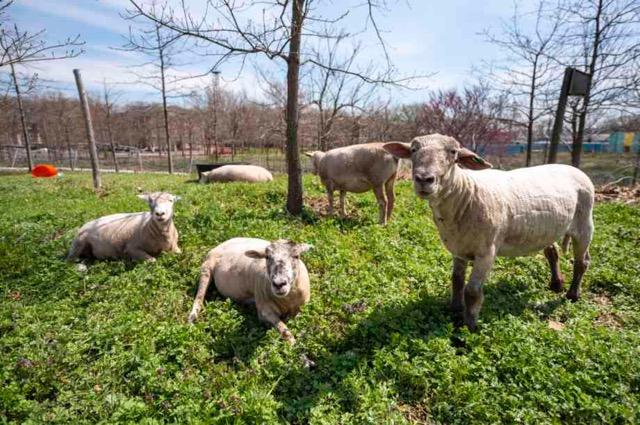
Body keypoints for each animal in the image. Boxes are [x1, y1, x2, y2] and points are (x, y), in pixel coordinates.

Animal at [383, 134, 595, 331]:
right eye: (413, 150)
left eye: (453, 152)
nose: (424, 179)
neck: (465, 195)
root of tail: (572, 168)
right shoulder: (458, 248)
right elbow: (456, 280)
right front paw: (455, 309)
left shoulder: (486, 252)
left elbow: (472, 291)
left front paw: (469, 327)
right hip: (548, 228)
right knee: (552, 252)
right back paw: (556, 284)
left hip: (584, 223)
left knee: (582, 262)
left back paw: (572, 295)